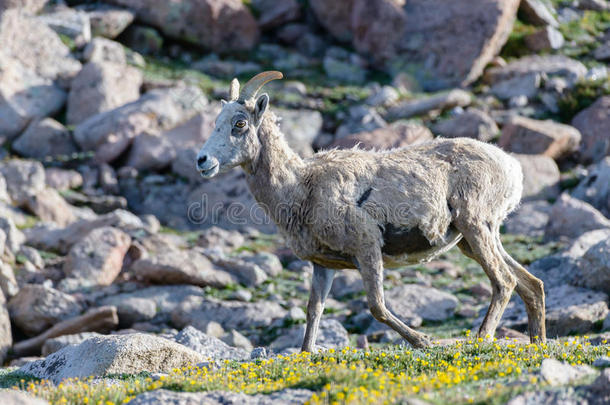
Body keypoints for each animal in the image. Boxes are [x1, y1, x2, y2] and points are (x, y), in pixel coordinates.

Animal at [196, 71, 548, 348]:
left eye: (239, 123)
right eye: (216, 122)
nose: (203, 161)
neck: (301, 187)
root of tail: (512, 167)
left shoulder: (367, 248)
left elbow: (377, 306)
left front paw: (424, 342)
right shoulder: (323, 265)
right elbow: (314, 311)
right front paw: (306, 354)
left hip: (475, 227)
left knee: (504, 282)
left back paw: (481, 339)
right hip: (474, 239)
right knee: (531, 285)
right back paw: (538, 344)